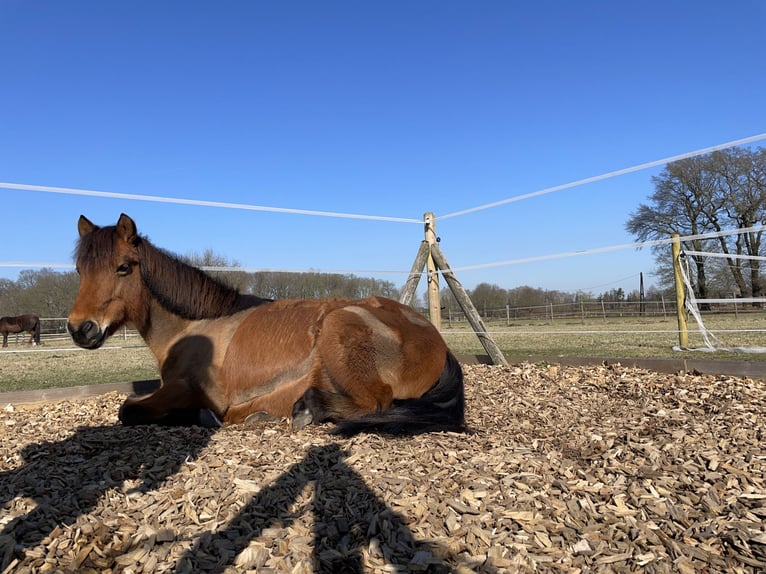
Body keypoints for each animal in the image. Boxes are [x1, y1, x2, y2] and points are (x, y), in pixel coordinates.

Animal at [67, 213, 465, 435]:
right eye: (79, 270)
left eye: (123, 267)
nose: (80, 328)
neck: (195, 327)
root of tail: (433, 337)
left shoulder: (190, 391)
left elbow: (128, 409)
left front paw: (203, 416)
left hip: (339, 327)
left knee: (377, 403)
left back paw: (305, 410)